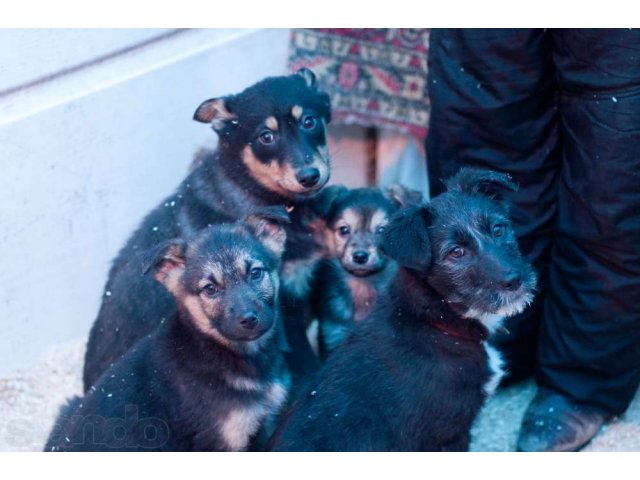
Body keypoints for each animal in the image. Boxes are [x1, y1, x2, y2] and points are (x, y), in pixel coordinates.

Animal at [83, 67, 332, 390]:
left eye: (309, 121)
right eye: (265, 137)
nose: (310, 176)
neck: (249, 188)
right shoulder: (284, 305)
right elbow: (305, 360)